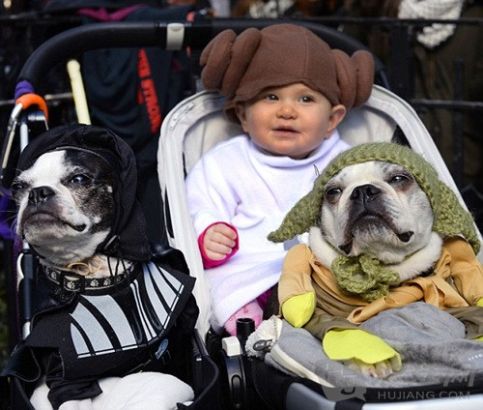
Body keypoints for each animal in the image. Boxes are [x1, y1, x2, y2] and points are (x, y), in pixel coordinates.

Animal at [0, 125, 197, 410]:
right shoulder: (66, 379)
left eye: (79, 179)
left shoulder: (172, 352)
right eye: (18, 187)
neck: (92, 275)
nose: (38, 192)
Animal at [268, 143, 483, 378]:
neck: (379, 266)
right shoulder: (319, 315)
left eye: (399, 179)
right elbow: (340, 328)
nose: (363, 190)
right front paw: (371, 356)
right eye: (333, 192)